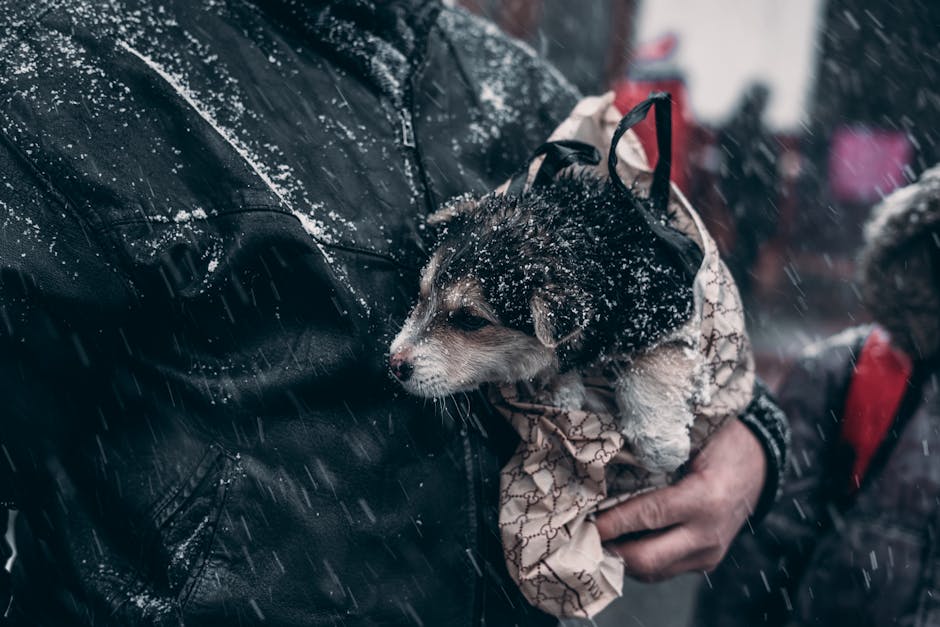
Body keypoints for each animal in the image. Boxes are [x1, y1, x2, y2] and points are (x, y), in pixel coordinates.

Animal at [388, 170, 704, 472]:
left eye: (471, 320)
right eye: (422, 295)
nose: (395, 364)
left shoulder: (675, 311)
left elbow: (652, 362)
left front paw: (658, 445)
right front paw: (560, 394)